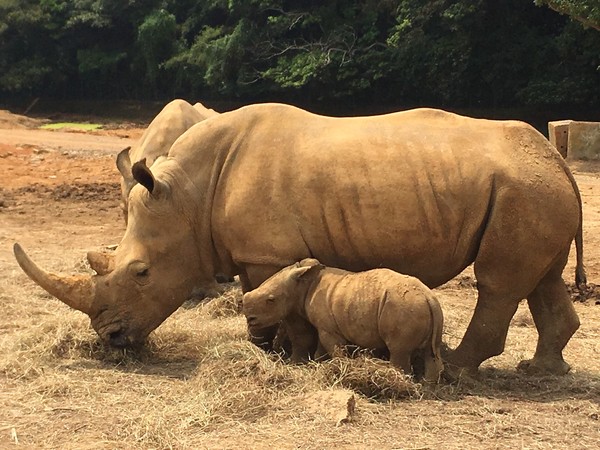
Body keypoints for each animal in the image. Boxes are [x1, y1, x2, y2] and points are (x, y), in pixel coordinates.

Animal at [243, 258, 446, 382]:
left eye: (271, 300)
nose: (249, 319)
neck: (302, 284)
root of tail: (428, 297)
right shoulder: (325, 326)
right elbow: (321, 349)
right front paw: (319, 363)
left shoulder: (329, 329)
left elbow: (334, 349)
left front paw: (341, 369)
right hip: (430, 309)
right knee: (432, 350)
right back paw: (428, 384)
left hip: (402, 307)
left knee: (399, 350)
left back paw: (399, 379)